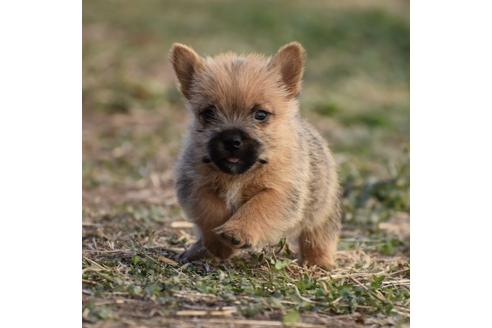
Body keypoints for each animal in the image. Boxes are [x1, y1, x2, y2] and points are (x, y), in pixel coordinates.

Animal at [171, 42, 340, 268]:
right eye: (208, 113)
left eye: (260, 115)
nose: (231, 140)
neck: (237, 176)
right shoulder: (196, 186)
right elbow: (211, 211)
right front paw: (219, 245)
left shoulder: (280, 191)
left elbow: (258, 207)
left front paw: (237, 231)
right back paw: (198, 251)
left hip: (323, 212)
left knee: (318, 236)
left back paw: (319, 262)